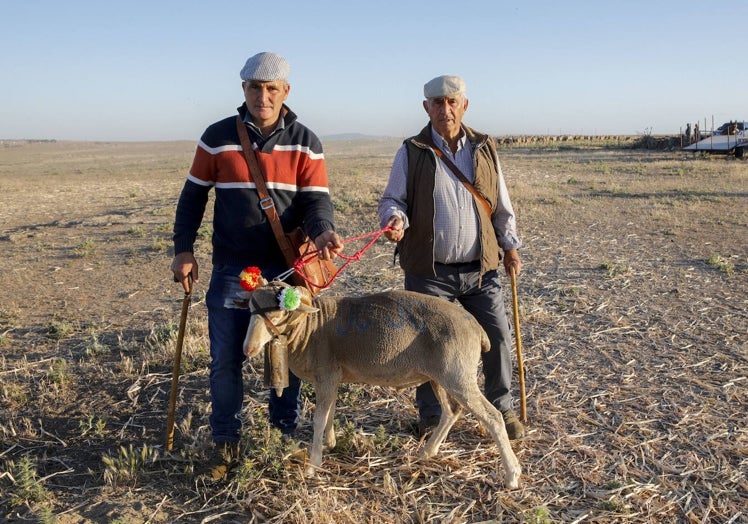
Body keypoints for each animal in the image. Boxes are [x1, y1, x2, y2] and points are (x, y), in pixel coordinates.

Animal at [240, 280, 520, 490]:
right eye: (249, 309)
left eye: (277, 312)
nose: (248, 349)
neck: (310, 328)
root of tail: (477, 328)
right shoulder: (332, 377)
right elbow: (329, 413)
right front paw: (330, 443)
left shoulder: (326, 374)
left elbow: (319, 418)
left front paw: (312, 465)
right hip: (440, 376)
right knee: (452, 412)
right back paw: (428, 452)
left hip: (457, 374)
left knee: (492, 417)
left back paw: (512, 475)